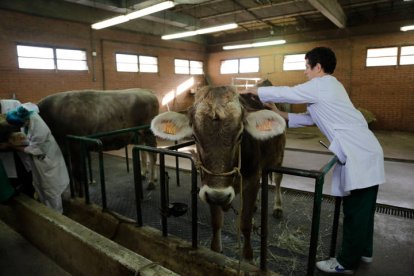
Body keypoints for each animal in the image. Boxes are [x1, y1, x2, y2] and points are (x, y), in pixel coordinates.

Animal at [150, 86, 286, 260]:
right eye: (194, 136)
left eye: (240, 135)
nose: (219, 196)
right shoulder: (209, 189)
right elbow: (216, 223)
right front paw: (216, 251)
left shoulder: (252, 180)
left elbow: (245, 224)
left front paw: (248, 257)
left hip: (278, 156)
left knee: (278, 179)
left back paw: (277, 207)